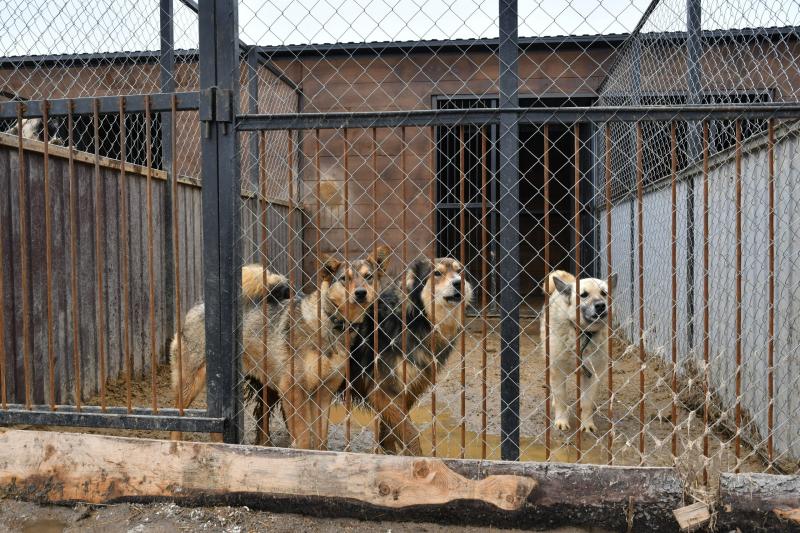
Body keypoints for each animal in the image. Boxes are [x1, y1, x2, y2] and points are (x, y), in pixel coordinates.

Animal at [346, 256, 472, 454]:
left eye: (459, 272)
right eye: (437, 273)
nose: (458, 282)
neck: (415, 320)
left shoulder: (407, 390)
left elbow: (389, 432)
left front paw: (390, 453)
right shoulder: (384, 389)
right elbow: (411, 433)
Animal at [540, 270, 616, 432]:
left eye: (604, 293)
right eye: (584, 295)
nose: (601, 305)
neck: (583, 333)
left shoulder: (593, 374)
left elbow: (587, 403)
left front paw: (587, 424)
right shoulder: (558, 371)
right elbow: (561, 399)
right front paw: (561, 421)